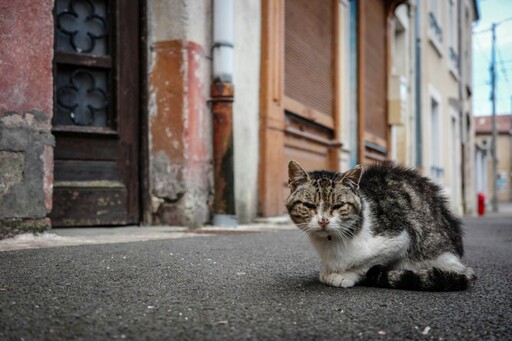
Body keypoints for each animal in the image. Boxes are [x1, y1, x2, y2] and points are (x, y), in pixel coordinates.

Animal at [288, 159, 476, 290]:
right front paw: (328, 271)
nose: (323, 220)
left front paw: (344, 275)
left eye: (338, 206)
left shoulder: (400, 238)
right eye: (309, 205)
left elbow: (365, 264)